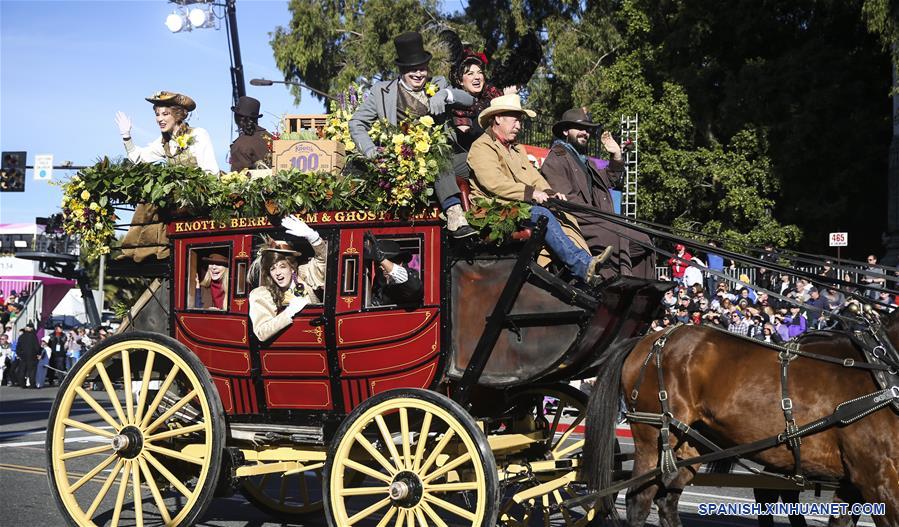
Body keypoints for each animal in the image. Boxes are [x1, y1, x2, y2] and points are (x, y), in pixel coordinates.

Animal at [584, 312, 899, 524]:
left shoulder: (854, 484)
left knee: (667, 499)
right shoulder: (877, 477)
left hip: (690, 441)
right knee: (639, 500)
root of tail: (651, 338)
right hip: (652, 434)